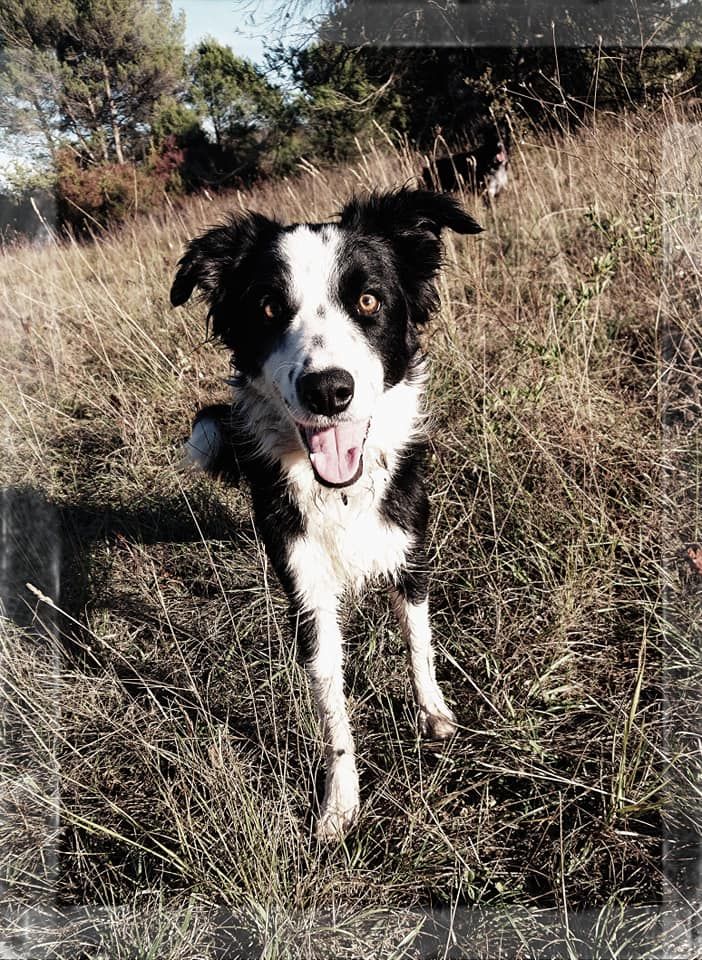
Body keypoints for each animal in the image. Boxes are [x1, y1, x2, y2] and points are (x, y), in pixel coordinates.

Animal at [170, 188, 484, 840]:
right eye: (269, 308)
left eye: (368, 300)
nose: (329, 391)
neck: (343, 492)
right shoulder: (307, 590)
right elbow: (331, 702)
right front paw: (340, 803)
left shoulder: (410, 553)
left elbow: (419, 642)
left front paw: (434, 714)